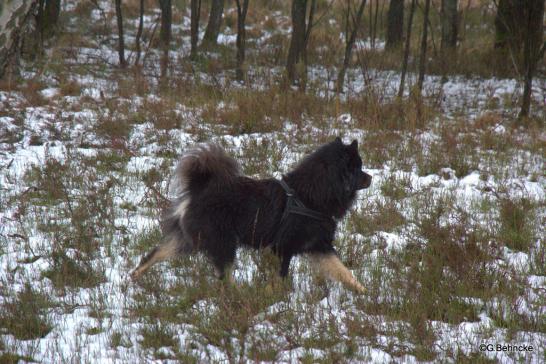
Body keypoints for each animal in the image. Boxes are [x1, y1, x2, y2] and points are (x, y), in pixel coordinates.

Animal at [130, 136, 372, 292]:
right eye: (358, 168)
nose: (371, 177)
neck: (308, 196)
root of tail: (198, 189)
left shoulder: (319, 246)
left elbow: (344, 272)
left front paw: (364, 292)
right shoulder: (282, 249)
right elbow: (279, 278)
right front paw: (274, 298)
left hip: (188, 240)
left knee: (155, 254)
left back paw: (134, 278)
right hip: (223, 243)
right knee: (224, 276)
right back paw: (238, 295)